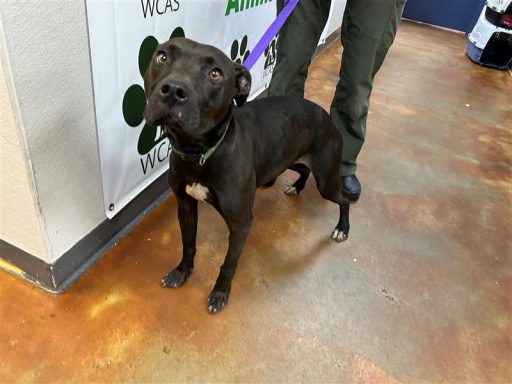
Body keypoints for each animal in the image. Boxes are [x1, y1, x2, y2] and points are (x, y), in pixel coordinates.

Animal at [144, 37, 352, 314]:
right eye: (162, 57)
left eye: (215, 74)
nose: (173, 90)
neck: (200, 153)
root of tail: (326, 115)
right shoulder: (185, 206)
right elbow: (188, 245)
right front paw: (181, 272)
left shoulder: (241, 224)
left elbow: (229, 263)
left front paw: (220, 293)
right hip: (286, 160)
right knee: (304, 169)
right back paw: (297, 187)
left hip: (326, 180)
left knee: (344, 199)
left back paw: (342, 228)